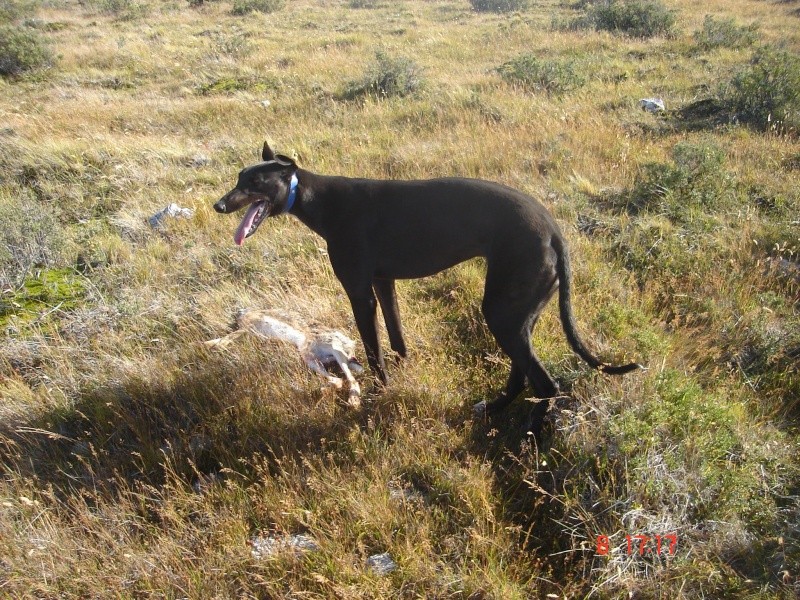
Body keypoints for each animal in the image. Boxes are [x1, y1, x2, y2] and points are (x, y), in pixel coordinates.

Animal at [209, 310, 366, 404]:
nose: (237, 316)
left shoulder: (247, 328)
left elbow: (226, 338)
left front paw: (212, 346)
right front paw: (209, 345)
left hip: (333, 347)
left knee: (349, 379)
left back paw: (353, 401)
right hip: (310, 358)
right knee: (338, 379)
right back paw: (322, 391)